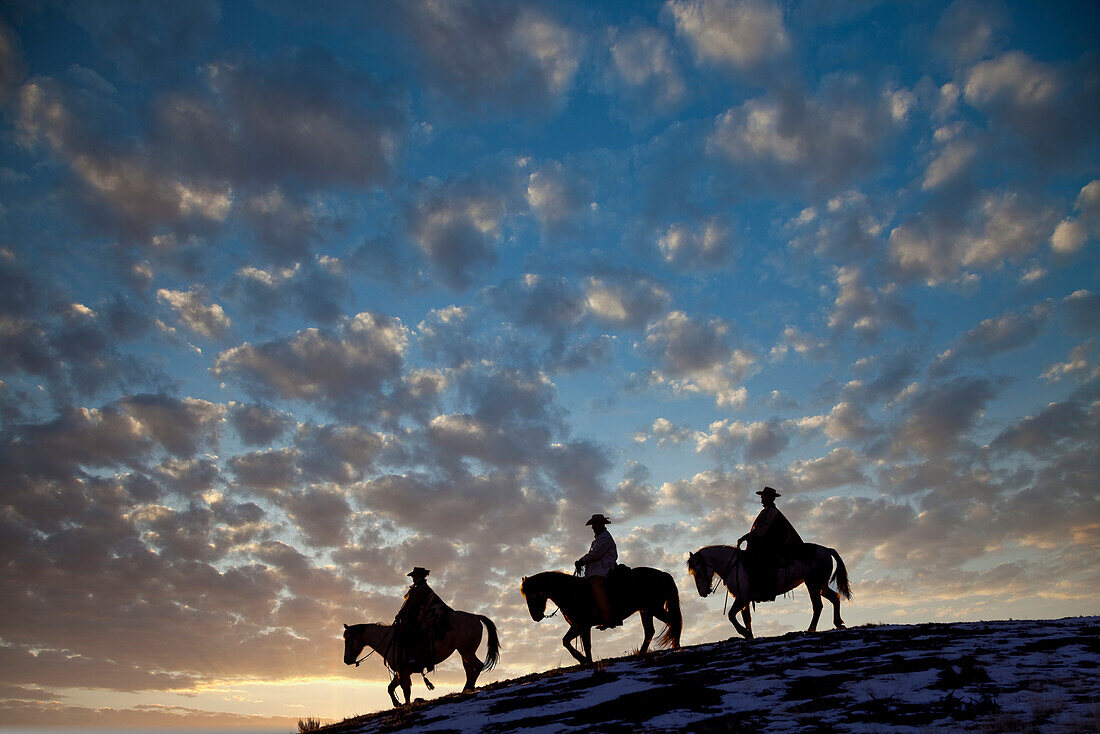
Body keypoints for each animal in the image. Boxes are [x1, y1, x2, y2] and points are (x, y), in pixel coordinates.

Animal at [341, 616, 501, 704]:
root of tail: (475, 616)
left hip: (466, 651)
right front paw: (397, 704)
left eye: (347, 639)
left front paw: (405, 705)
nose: (346, 660)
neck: (389, 641)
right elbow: (391, 688)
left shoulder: (403, 672)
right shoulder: (400, 672)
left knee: (478, 666)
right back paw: (467, 688)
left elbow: (405, 691)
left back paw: (469, 687)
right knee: (469, 669)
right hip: (464, 652)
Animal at [521, 567, 677, 664]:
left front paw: (584, 660)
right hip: (646, 611)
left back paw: (676, 645)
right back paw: (641, 652)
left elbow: (578, 644)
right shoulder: (580, 626)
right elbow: (571, 642)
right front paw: (585, 660)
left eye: (532, 595)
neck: (571, 592)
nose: (535, 617)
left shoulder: (582, 625)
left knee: (672, 622)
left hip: (654, 609)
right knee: (650, 631)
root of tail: (664, 574)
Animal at [686, 543, 849, 638]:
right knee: (835, 598)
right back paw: (838, 623)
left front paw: (744, 632)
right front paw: (749, 634)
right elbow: (746, 618)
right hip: (820, 585)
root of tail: (826, 550)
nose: (702, 592)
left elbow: (731, 615)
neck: (734, 566)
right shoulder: (744, 599)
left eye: (697, 572)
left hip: (812, 584)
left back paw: (810, 629)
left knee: (818, 606)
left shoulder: (742, 598)